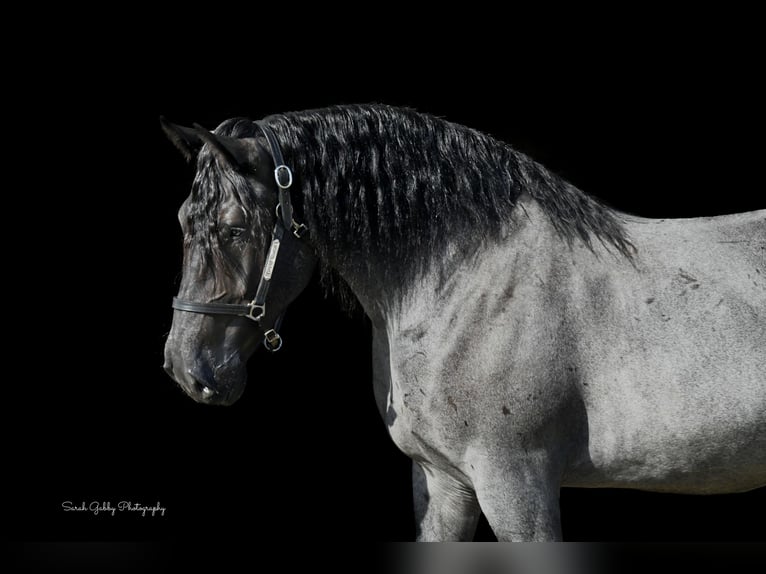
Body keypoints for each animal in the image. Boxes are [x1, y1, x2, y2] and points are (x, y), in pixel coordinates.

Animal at [162, 104, 766, 544]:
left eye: (235, 229)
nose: (187, 369)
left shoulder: (515, 484)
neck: (464, 282)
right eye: (184, 221)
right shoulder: (442, 482)